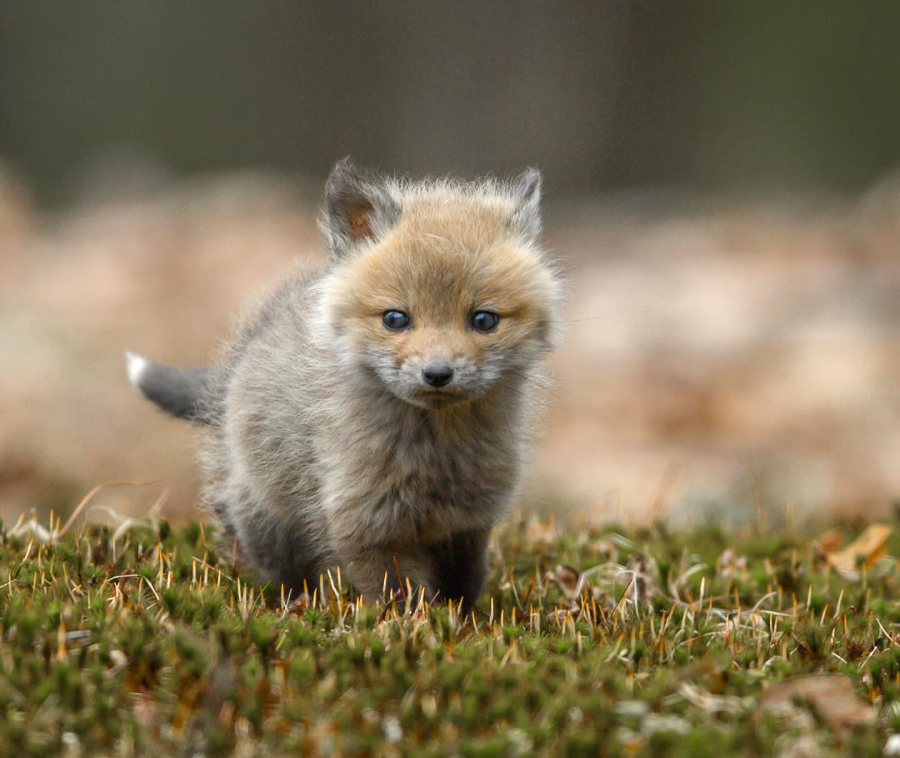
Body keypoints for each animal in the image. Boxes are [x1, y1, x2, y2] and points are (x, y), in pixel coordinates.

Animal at [127, 159, 562, 612]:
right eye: (395, 318)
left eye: (484, 320)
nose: (438, 374)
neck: (436, 455)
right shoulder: (366, 526)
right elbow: (397, 599)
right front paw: (411, 626)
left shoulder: (467, 526)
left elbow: (463, 586)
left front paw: (460, 622)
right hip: (266, 517)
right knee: (271, 559)